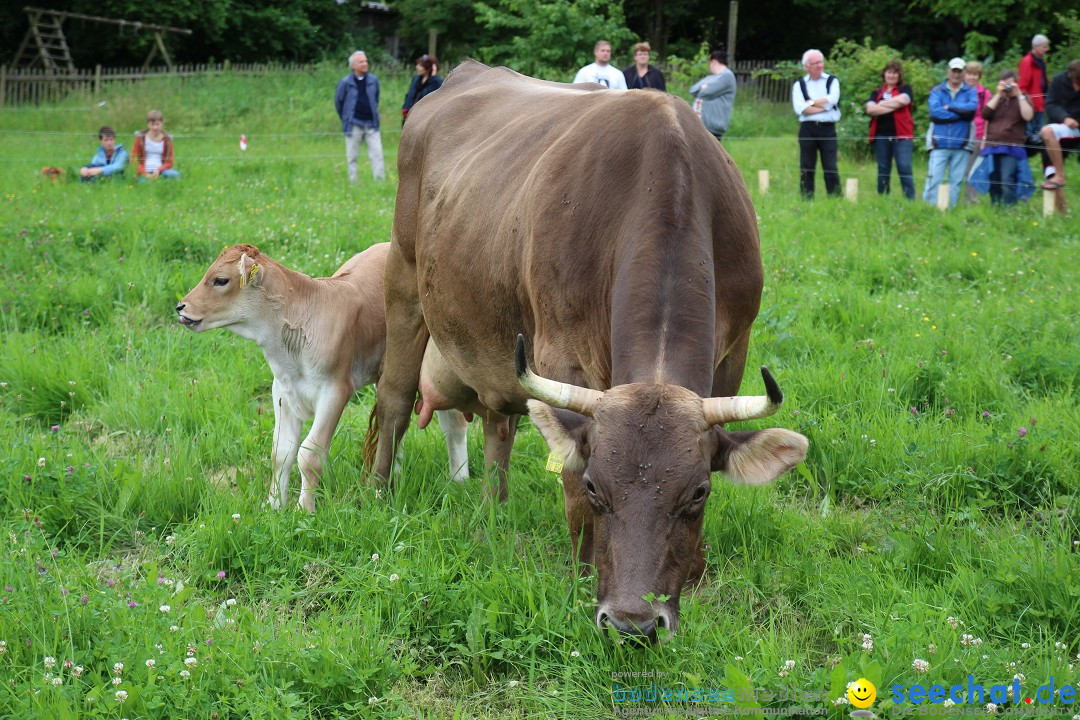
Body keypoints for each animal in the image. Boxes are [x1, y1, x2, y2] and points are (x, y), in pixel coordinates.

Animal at [177, 245, 468, 515]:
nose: (181, 306)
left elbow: (309, 454)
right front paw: (274, 506)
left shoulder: (335, 390)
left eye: (220, 280)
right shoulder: (282, 391)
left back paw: (459, 478)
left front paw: (304, 509)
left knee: (452, 421)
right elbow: (281, 453)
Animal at [367, 60, 807, 643]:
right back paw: (376, 493)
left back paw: (493, 511)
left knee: (499, 426)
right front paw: (580, 577)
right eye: (600, 486)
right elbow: (570, 484)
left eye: (697, 493)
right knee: (394, 399)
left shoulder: (732, 355)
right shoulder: (562, 357)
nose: (632, 623)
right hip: (405, 277)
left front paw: (692, 576)